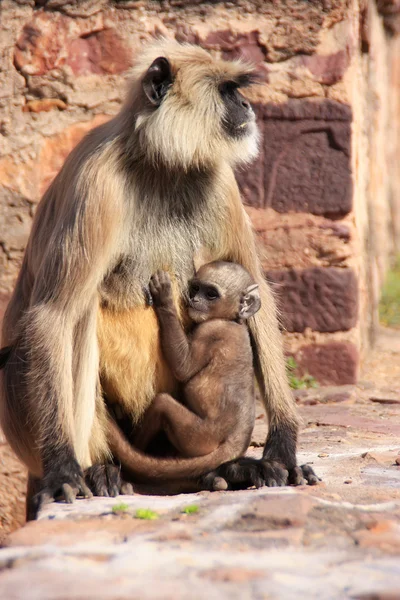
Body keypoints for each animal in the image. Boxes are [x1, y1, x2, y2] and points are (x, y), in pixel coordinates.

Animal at [106, 262, 276, 488]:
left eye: (211, 294)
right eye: (195, 289)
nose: (195, 300)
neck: (232, 320)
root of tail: (236, 440)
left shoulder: (211, 330)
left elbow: (183, 367)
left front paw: (165, 298)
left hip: (200, 437)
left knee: (162, 403)